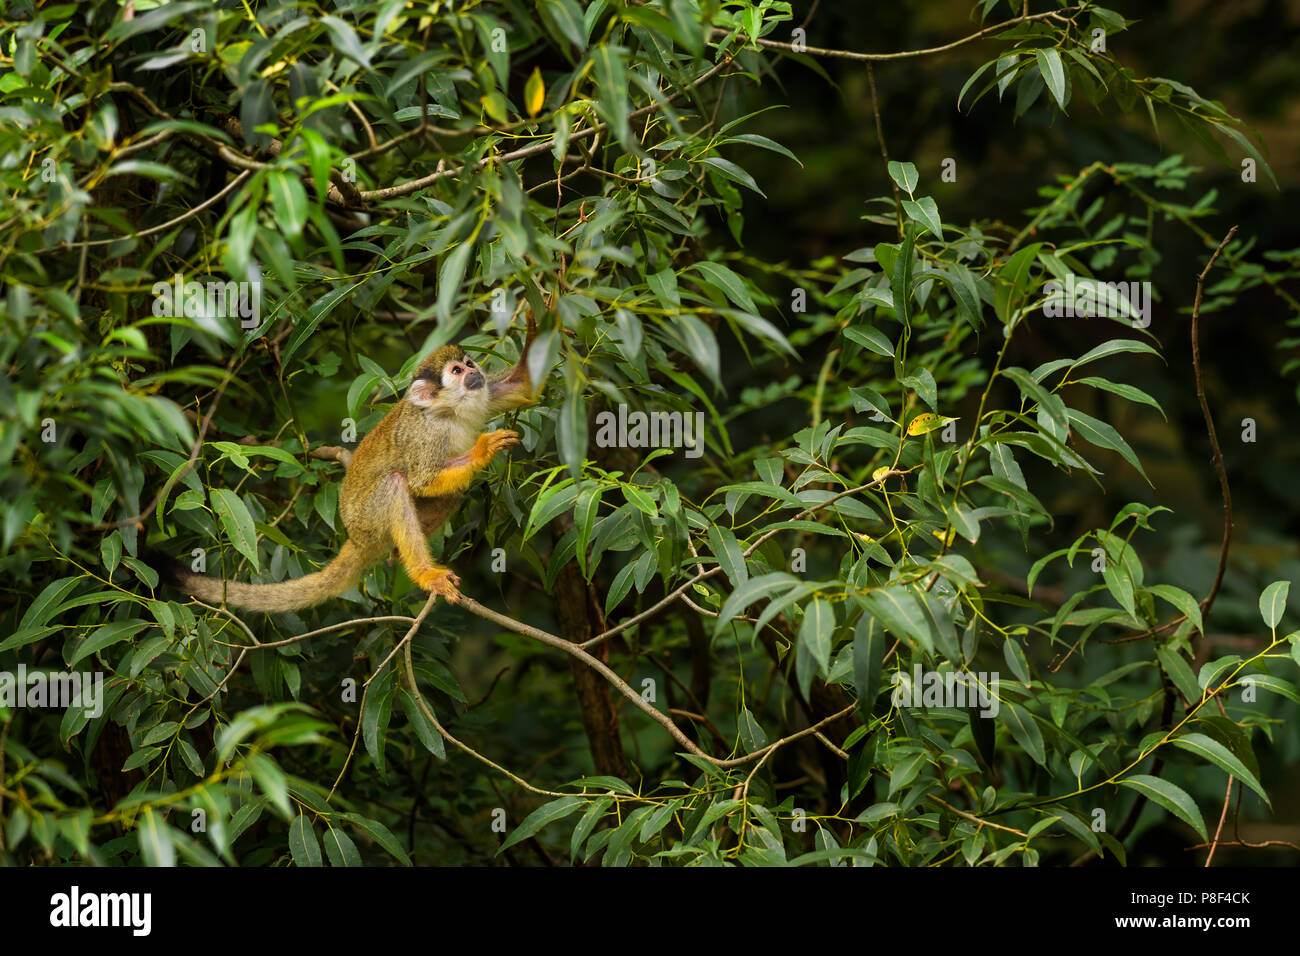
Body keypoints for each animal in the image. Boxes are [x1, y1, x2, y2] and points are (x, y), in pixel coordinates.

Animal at [156, 319, 538, 613]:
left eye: (470, 364)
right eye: (456, 371)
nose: (474, 372)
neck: (451, 411)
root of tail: (354, 537)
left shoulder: (484, 395)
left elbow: (522, 387)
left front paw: (540, 320)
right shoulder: (426, 434)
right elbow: (422, 480)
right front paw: (482, 451)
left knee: (453, 491)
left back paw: (399, 555)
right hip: (366, 520)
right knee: (396, 483)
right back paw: (424, 571)